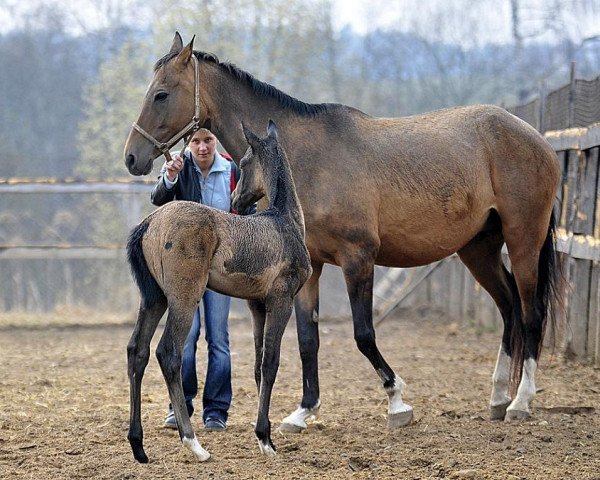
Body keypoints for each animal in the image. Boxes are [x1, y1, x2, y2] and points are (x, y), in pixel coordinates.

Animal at [123, 31, 564, 440]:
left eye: (161, 94)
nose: (132, 157)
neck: (310, 157)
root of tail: (537, 139)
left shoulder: (358, 259)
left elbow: (363, 334)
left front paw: (397, 400)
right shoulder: (311, 269)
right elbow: (308, 339)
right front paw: (303, 411)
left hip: (523, 240)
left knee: (530, 313)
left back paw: (521, 402)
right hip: (479, 250)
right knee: (509, 309)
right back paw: (498, 398)